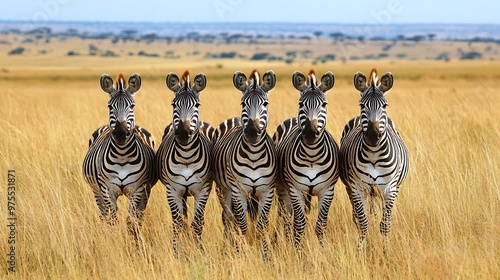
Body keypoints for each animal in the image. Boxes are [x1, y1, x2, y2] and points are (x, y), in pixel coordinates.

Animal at [82, 73, 157, 242]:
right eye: (110, 106)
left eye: (132, 106)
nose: (121, 134)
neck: (122, 156)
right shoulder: (106, 189)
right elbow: (113, 219)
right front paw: (114, 241)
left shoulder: (138, 189)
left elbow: (131, 220)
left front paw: (134, 243)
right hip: (96, 191)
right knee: (104, 215)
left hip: (146, 191)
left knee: (139, 216)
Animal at [157, 70, 214, 254]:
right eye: (173, 105)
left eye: (197, 105)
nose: (183, 133)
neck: (186, 156)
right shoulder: (172, 190)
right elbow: (177, 222)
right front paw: (176, 251)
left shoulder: (203, 189)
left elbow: (198, 223)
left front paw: (200, 250)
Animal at [212, 69, 278, 258]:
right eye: (243, 103)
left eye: (265, 103)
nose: (252, 132)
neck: (254, 155)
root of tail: (235, 119)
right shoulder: (238, 190)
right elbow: (241, 225)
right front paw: (242, 253)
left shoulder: (266, 191)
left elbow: (262, 225)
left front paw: (265, 255)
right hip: (223, 189)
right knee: (228, 218)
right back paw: (227, 248)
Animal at [274, 70, 340, 249]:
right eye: (301, 104)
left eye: (324, 104)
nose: (310, 133)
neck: (312, 156)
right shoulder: (296, 189)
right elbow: (299, 224)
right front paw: (297, 250)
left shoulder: (327, 191)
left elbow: (321, 225)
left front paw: (322, 251)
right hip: (283, 189)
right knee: (284, 216)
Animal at [340, 68, 410, 254]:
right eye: (361, 105)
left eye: (385, 105)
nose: (372, 135)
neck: (373, 156)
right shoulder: (357, 188)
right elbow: (363, 222)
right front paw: (360, 251)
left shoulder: (389, 188)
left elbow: (384, 224)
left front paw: (386, 252)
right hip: (353, 189)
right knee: (358, 217)